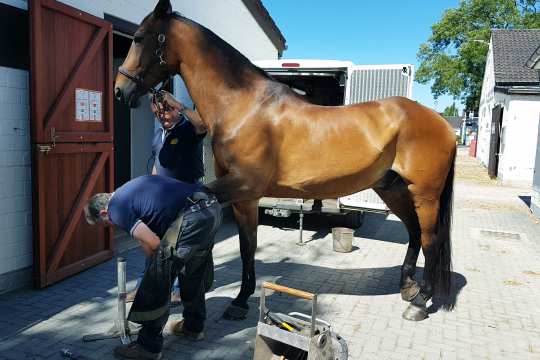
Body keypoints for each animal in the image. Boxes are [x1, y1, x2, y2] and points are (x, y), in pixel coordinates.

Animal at [114, 0, 456, 320]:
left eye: (139, 38)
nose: (120, 91)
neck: (243, 106)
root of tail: (441, 123)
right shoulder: (245, 198)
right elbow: (247, 246)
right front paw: (241, 300)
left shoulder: (241, 185)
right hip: (393, 189)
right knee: (414, 233)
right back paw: (408, 288)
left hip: (424, 194)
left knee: (431, 239)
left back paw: (420, 303)